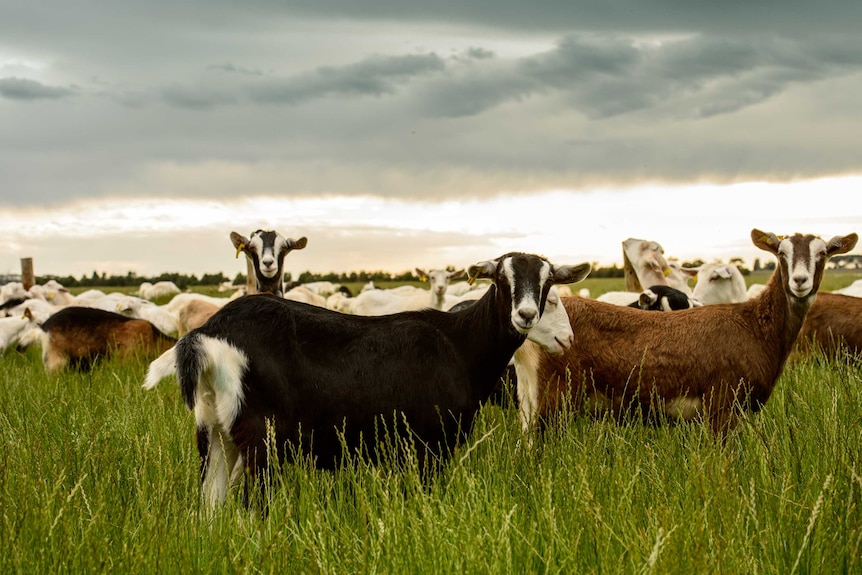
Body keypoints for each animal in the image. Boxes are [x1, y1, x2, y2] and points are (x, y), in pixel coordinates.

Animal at [147, 252, 592, 508]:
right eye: (501, 279)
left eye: (548, 283)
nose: (526, 315)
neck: (460, 343)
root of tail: (207, 333)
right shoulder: (430, 445)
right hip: (261, 439)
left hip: (214, 430)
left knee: (210, 507)